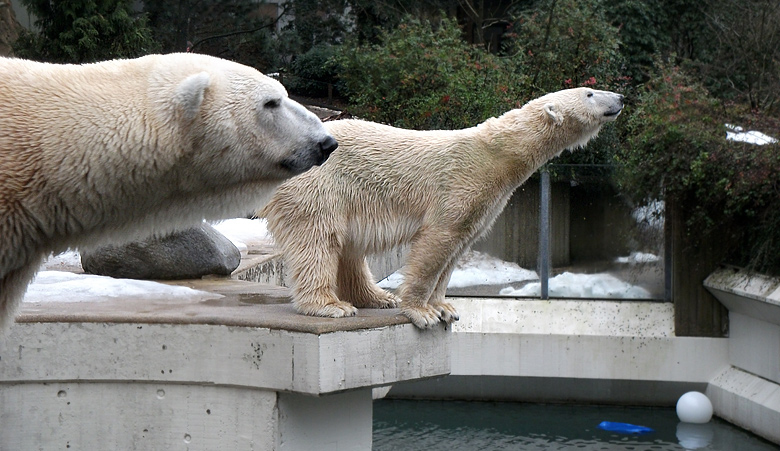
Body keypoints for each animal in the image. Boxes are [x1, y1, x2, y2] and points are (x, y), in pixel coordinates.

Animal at [262, 87, 620, 328]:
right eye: (590, 92)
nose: (619, 98)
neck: (496, 155)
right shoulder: (460, 184)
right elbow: (438, 241)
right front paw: (421, 312)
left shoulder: (486, 203)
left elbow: (457, 248)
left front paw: (444, 308)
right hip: (319, 187)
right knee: (319, 239)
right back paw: (331, 305)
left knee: (349, 247)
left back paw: (377, 297)